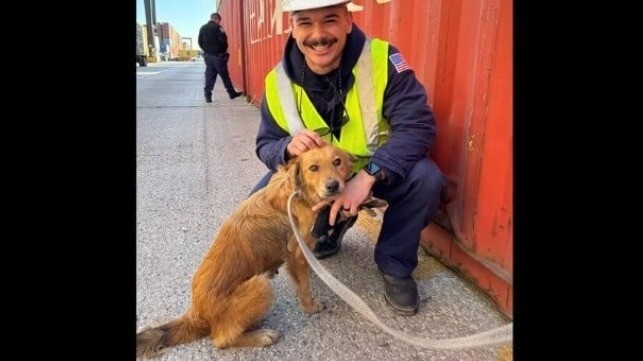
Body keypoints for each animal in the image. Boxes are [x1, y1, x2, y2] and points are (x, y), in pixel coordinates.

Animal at [135, 143, 352, 358]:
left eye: (337, 162)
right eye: (313, 168)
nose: (333, 186)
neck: (295, 192)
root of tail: (197, 314)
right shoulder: (298, 253)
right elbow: (304, 286)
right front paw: (310, 306)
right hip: (261, 286)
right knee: (220, 340)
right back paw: (261, 336)